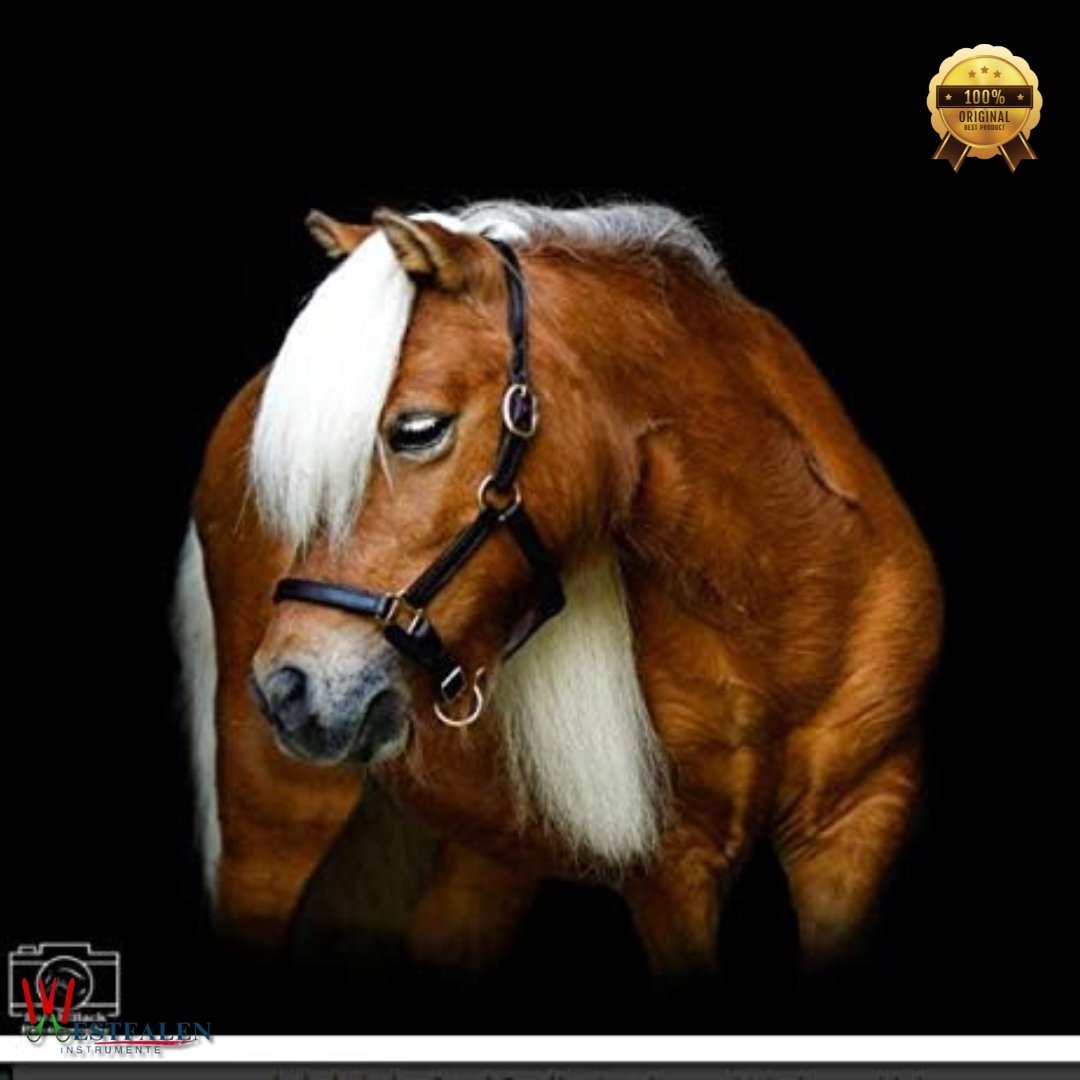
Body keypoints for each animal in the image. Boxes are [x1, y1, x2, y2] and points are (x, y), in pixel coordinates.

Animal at [175, 201, 942, 977]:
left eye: (418, 429)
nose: (287, 688)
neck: (782, 605)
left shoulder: (858, 822)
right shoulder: (672, 867)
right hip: (273, 818)